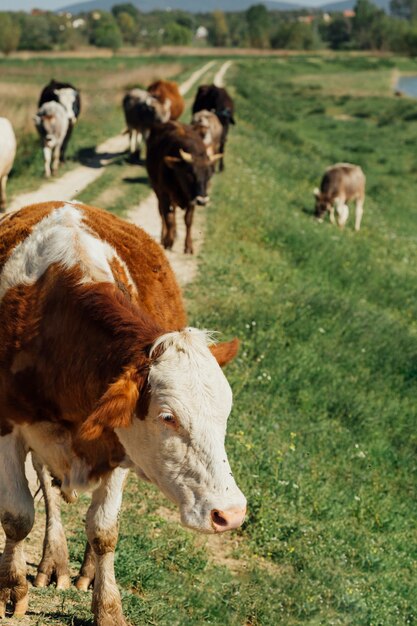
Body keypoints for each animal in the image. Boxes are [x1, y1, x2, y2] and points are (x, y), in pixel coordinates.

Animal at [0, 201, 244, 624]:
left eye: (224, 415)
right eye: (168, 417)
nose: (230, 513)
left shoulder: (118, 445)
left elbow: (104, 530)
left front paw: (108, 607)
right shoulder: (7, 426)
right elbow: (17, 517)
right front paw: (11, 589)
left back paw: (85, 573)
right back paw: (54, 561)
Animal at [146, 122, 221, 254]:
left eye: (209, 174)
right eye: (190, 174)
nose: (202, 200)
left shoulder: (191, 198)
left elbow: (188, 220)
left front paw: (188, 246)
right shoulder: (165, 194)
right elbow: (168, 217)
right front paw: (168, 241)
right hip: (157, 190)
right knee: (162, 213)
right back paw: (164, 236)